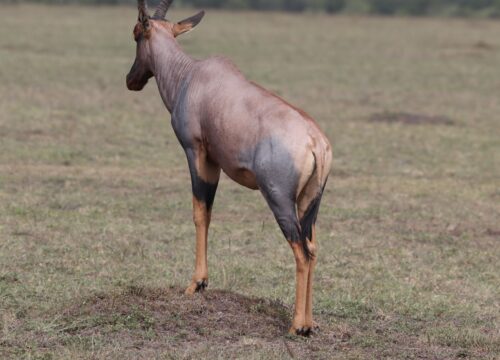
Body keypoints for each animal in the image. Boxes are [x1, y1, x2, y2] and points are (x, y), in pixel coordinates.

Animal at [126, 0, 332, 338]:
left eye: (135, 34)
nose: (132, 80)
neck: (192, 76)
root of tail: (316, 141)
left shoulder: (198, 153)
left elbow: (200, 214)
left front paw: (196, 284)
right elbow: (207, 215)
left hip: (279, 198)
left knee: (301, 250)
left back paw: (297, 327)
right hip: (309, 202)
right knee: (313, 247)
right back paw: (311, 322)